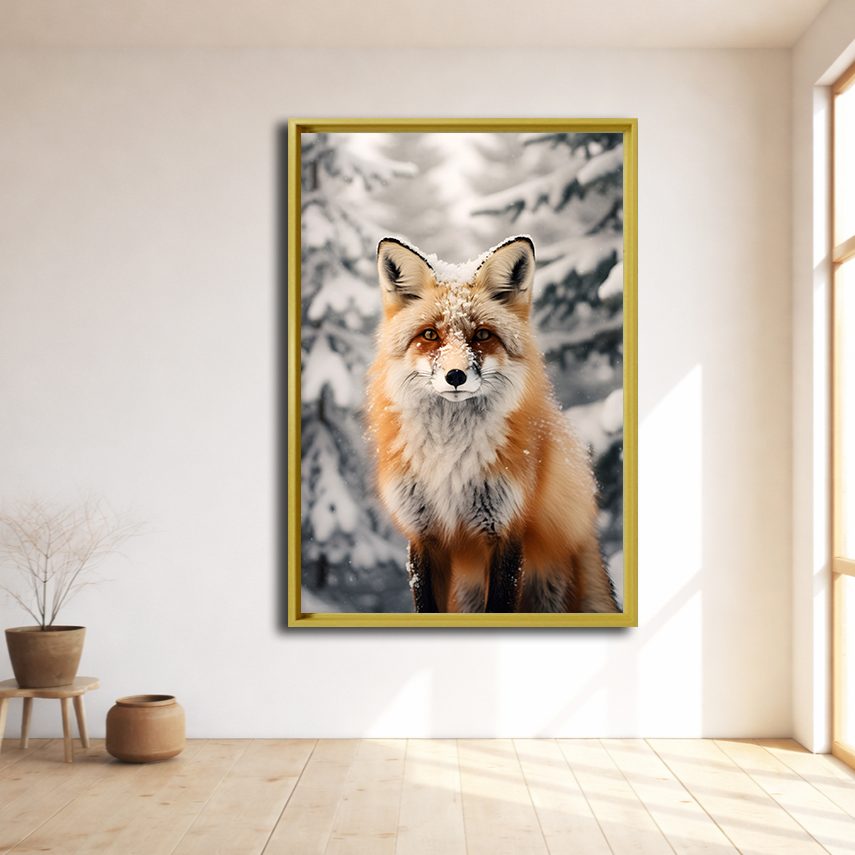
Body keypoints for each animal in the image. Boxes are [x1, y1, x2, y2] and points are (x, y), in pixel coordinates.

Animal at [366, 234, 618, 614]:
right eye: (430, 334)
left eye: (482, 335)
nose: (455, 376)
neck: (450, 458)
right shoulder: (423, 534)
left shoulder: (506, 530)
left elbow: (500, 603)